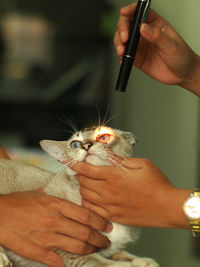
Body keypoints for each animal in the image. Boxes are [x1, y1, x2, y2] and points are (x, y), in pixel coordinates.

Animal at [0, 126, 159, 267]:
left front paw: (144, 261)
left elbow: (122, 254)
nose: (86, 145)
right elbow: (102, 263)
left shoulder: (110, 249)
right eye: (75, 144)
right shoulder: (69, 249)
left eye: (103, 137)